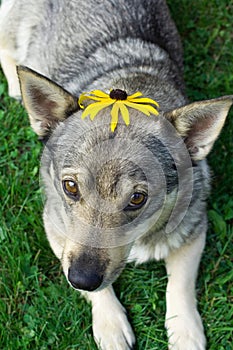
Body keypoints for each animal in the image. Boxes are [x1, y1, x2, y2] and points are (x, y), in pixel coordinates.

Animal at [0, 0, 232, 350]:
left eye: (137, 198)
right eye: (70, 187)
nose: (82, 278)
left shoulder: (194, 226)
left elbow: (180, 284)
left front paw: (185, 331)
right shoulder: (55, 227)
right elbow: (97, 291)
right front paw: (110, 323)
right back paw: (16, 84)